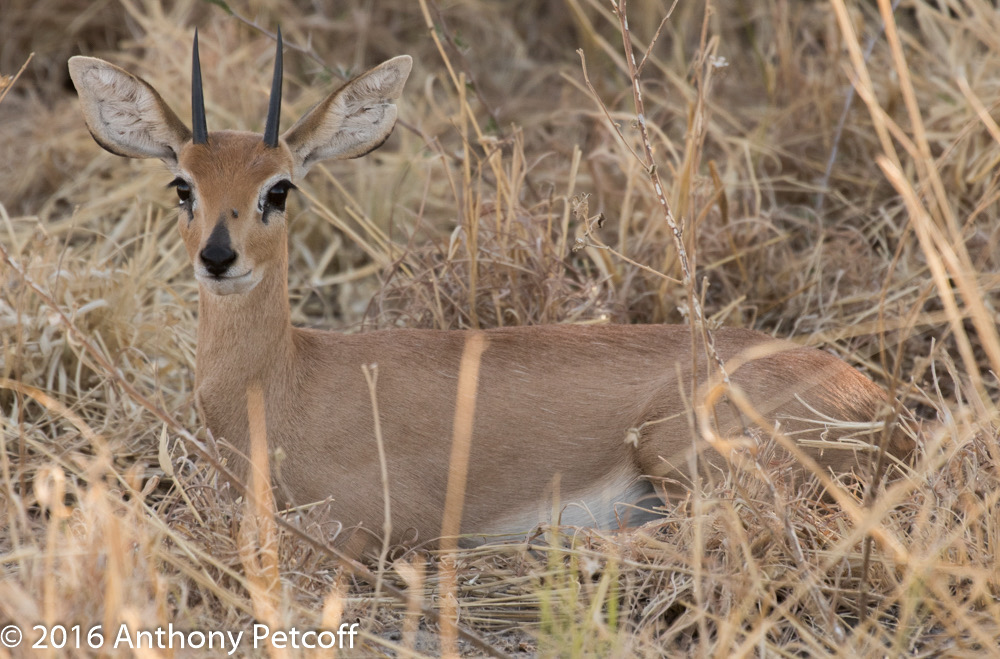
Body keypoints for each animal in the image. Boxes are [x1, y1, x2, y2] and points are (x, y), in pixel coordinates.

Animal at [68, 31, 916, 556]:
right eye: (183, 184)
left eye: (279, 188)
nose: (219, 255)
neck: (283, 381)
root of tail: (874, 400)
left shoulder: (362, 529)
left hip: (682, 453)